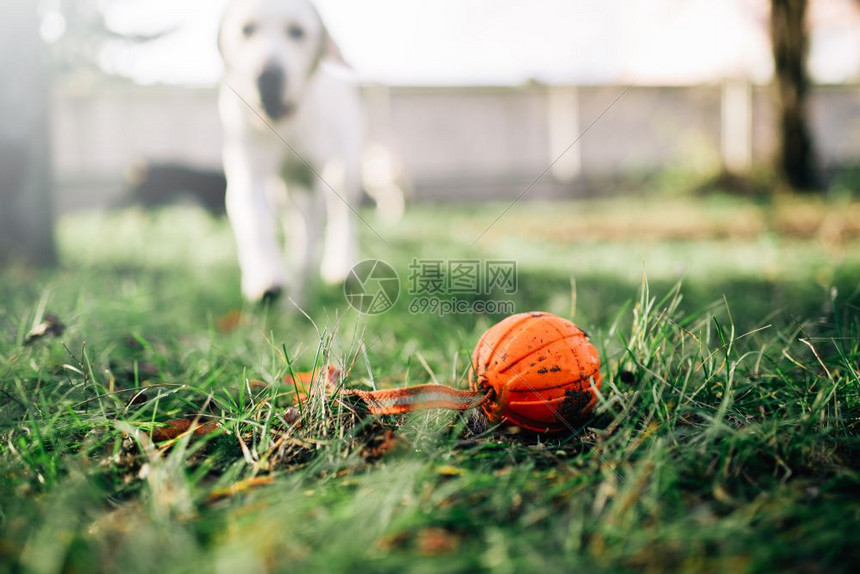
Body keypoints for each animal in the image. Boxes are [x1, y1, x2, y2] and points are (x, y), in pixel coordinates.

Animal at [218, 0, 362, 304]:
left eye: (297, 32)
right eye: (247, 29)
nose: (268, 75)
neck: (285, 125)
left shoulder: (317, 180)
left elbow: (310, 243)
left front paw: (298, 289)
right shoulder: (249, 171)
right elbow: (255, 218)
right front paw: (266, 278)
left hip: (345, 168)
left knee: (341, 213)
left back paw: (340, 266)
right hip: (284, 191)